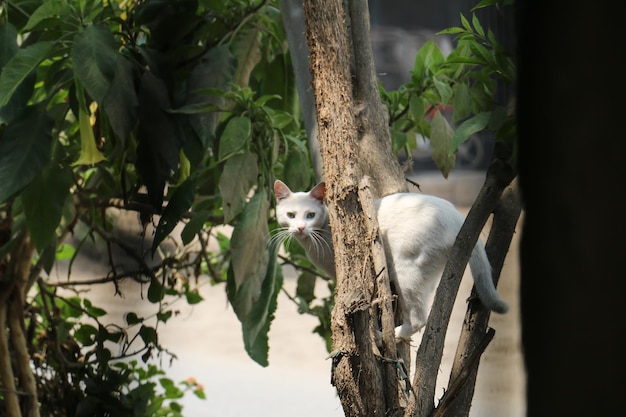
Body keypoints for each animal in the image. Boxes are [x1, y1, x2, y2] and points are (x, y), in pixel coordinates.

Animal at [272, 179, 508, 338]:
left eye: (310, 215)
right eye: (291, 215)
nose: (300, 228)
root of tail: (458, 218)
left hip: (407, 270)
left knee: (419, 319)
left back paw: (386, 335)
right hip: (426, 275)